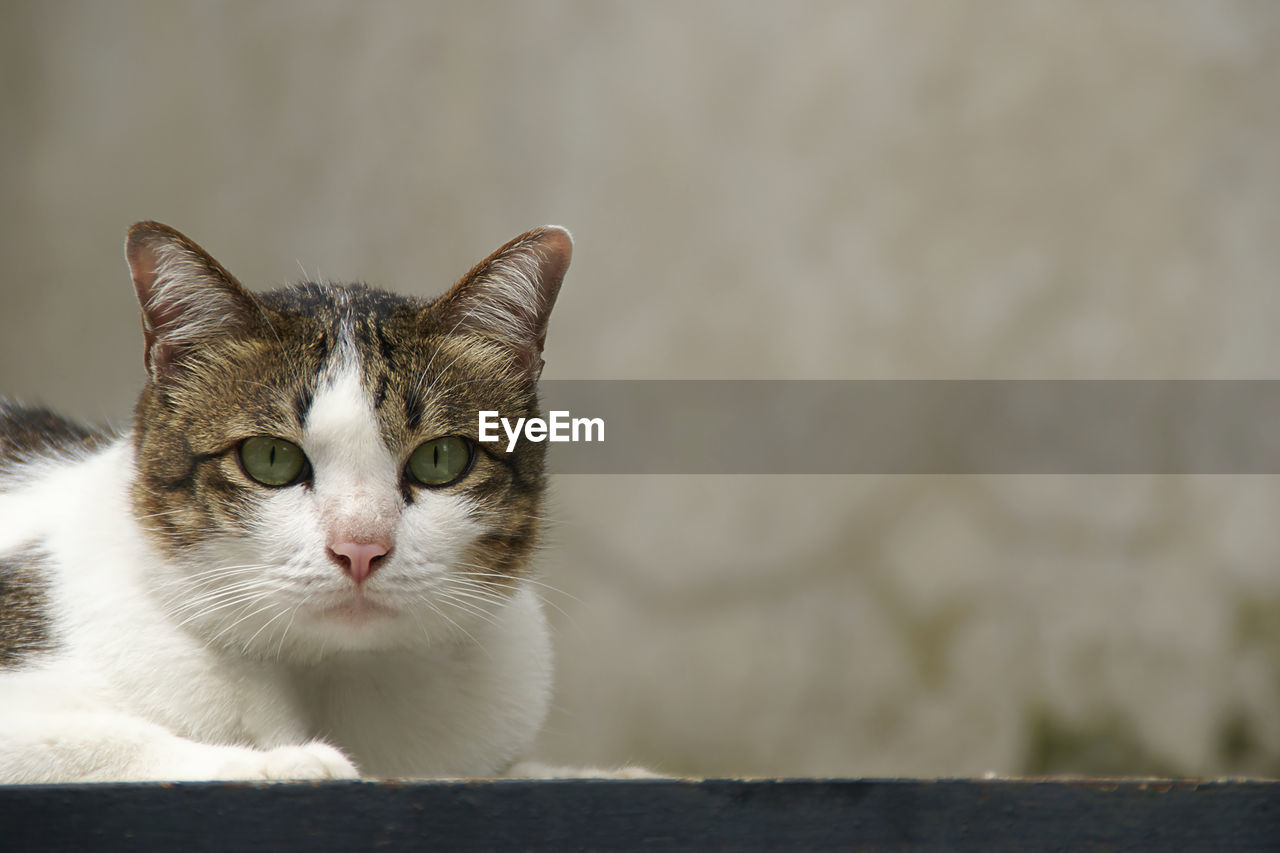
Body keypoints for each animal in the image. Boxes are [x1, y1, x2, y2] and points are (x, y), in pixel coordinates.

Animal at [0, 222, 570, 778]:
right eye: (270, 458)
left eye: (440, 458)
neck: (330, 679)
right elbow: (101, 741)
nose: (360, 548)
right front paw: (284, 761)